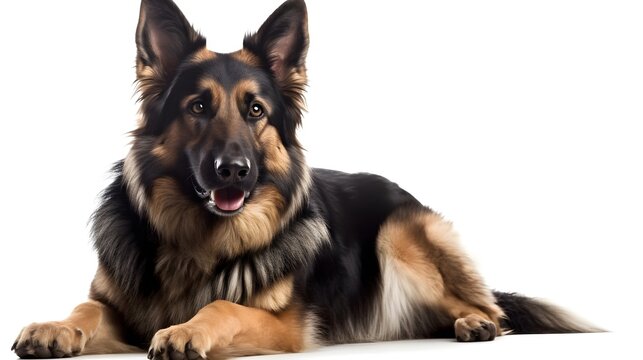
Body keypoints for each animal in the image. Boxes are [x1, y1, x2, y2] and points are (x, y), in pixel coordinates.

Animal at [12, 0, 600, 358]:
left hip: (402, 232)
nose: (234, 170)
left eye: (255, 111)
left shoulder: (282, 326)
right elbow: (86, 306)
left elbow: (221, 305)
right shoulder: (115, 306)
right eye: (198, 107)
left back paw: (475, 322)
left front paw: (185, 328)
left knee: (488, 306)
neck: (199, 244)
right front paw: (52, 326)